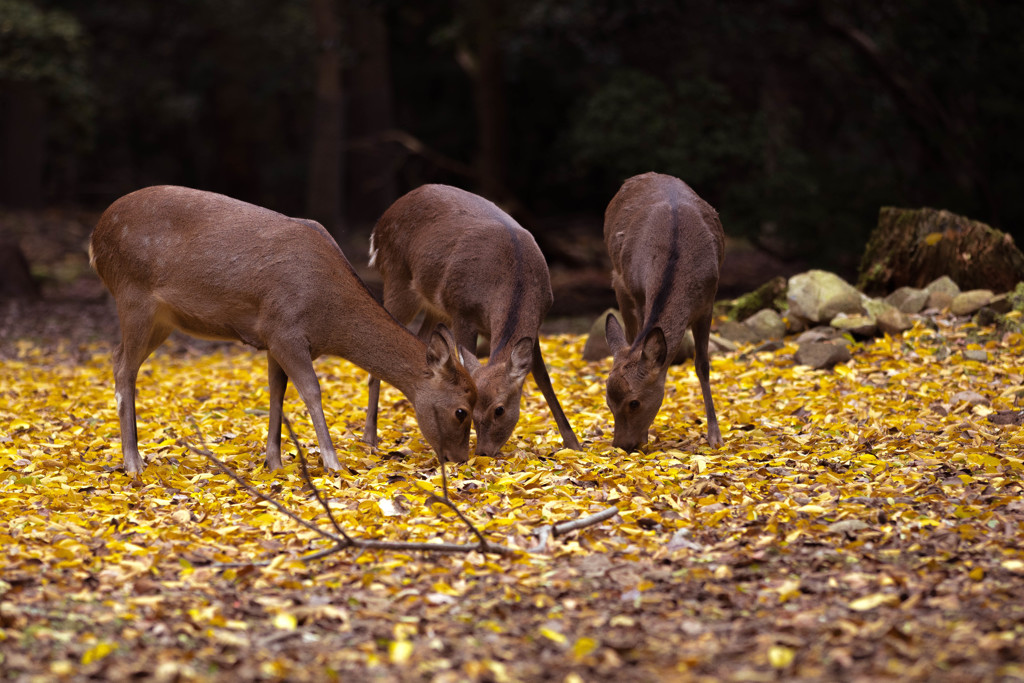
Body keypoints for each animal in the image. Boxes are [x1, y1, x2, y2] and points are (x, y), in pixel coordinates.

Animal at [90, 181, 473, 473]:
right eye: (462, 410)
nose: (461, 459)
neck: (329, 318)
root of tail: (95, 238)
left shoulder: (271, 336)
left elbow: (278, 392)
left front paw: (273, 461)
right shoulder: (285, 330)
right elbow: (312, 391)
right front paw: (334, 463)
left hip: (163, 320)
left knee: (119, 357)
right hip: (133, 296)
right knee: (123, 367)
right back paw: (133, 462)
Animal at [364, 181, 581, 458]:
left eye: (499, 410)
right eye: (471, 412)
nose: (483, 452)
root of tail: (378, 227)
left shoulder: (534, 325)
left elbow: (543, 377)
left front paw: (574, 443)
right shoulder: (462, 312)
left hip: (435, 305)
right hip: (397, 279)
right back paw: (370, 438)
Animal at [602, 171, 724, 450]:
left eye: (634, 402)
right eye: (608, 401)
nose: (622, 445)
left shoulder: (708, 303)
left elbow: (703, 364)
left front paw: (715, 436)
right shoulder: (639, 293)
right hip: (619, 281)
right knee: (630, 334)